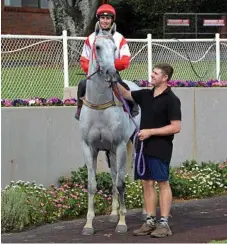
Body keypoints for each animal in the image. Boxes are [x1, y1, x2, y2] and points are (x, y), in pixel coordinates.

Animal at [79, 24, 141, 234]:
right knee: (114, 175)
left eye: (114, 48)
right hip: (110, 151)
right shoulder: (89, 147)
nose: (111, 72)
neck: (100, 107)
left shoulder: (120, 145)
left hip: (130, 144)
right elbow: (92, 185)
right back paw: (113, 213)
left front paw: (122, 223)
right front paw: (88, 224)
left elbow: (121, 183)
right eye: (97, 47)